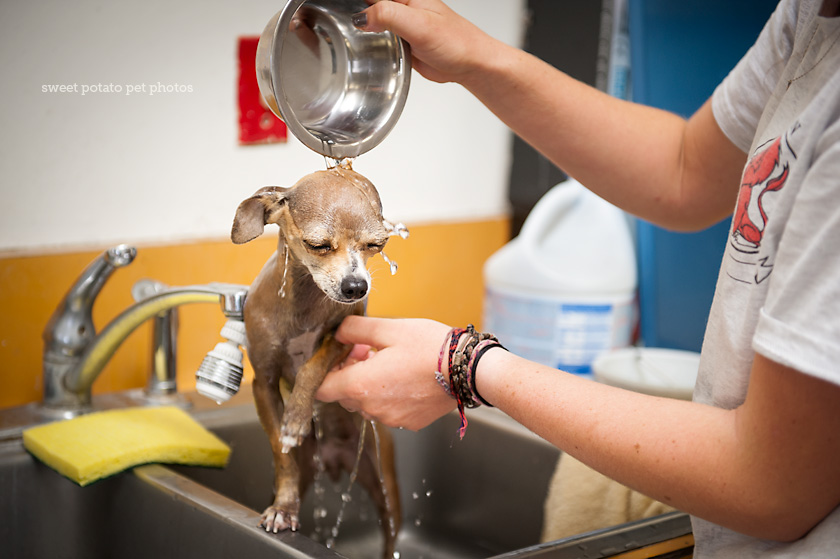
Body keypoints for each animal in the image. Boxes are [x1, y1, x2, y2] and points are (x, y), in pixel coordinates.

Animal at [230, 166, 400, 556]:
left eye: (376, 244)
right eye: (318, 245)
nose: (356, 286)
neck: (305, 305)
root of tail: (336, 460)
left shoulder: (344, 336)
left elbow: (313, 365)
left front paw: (296, 415)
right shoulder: (263, 384)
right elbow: (282, 453)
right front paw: (283, 507)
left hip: (383, 483)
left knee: (390, 531)